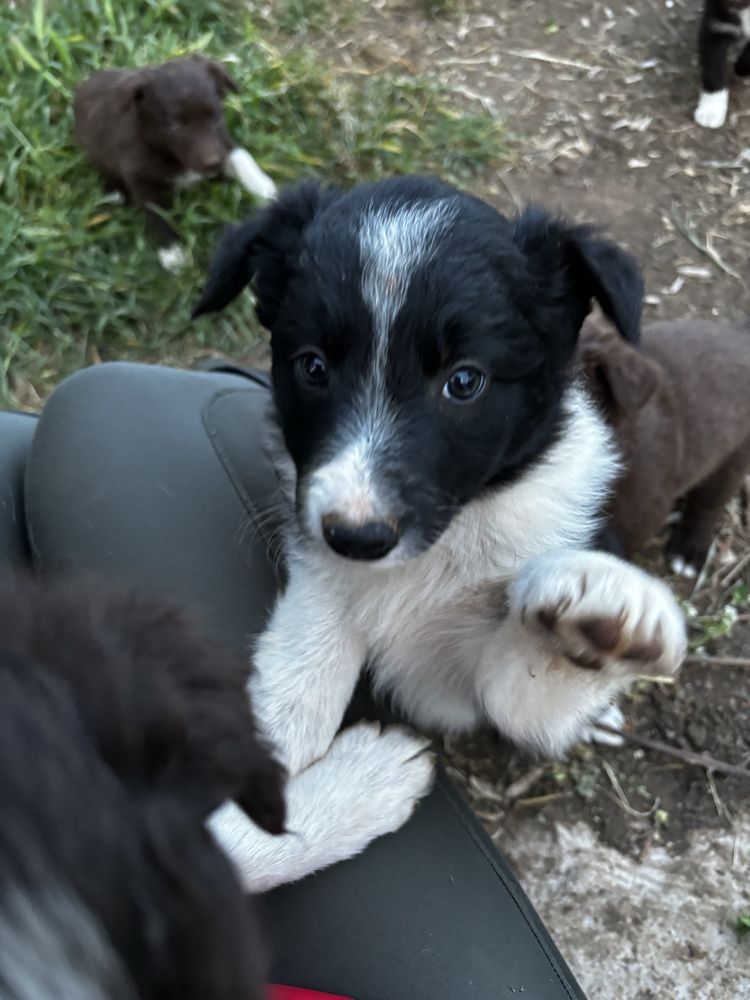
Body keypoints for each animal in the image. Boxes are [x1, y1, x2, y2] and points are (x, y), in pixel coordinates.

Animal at [73, 53, 278, 274]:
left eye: (215, 116)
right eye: (174, 125)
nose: (213, 165)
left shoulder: (221, 143)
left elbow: (241, 155)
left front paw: (263, 187)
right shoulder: (141, 181)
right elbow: (157, 215)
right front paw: (172, 252)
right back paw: (114, 192)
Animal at [194, 176, 688, 856]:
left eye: (464, 381)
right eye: (312, 366)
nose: (357, 536)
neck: (450, 537)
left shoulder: (456, 690)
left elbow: (526, 691)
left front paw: (594, 627)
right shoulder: (323, 566)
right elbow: (302, 671)